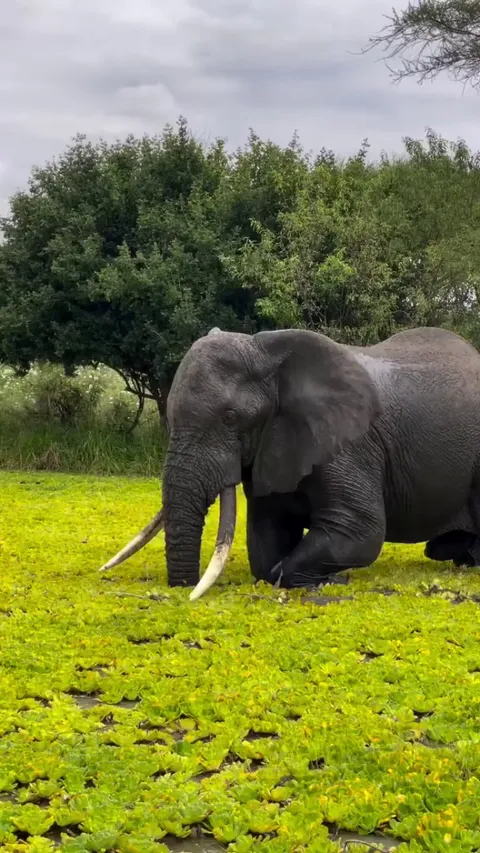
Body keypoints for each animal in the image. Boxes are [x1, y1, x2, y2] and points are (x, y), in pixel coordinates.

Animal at [100, 325, 480, 600]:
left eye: (230, 418)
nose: (183, 590)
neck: (269, 354)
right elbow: (267, 537)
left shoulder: (349, 445)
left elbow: (359, 532)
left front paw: (332, 581)